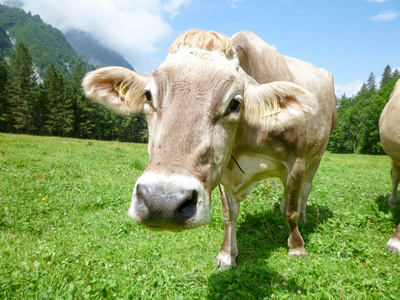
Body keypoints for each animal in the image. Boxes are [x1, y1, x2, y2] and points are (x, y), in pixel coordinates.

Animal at [83, 29, 336, 268]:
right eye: (147, 95)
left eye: (235, 103)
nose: (161, 203)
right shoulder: (222, 169)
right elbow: (229, 213)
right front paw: (226, 255)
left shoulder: (295, 162)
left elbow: (289, 210)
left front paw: (297, 247)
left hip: (316, 156)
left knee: (305, 191)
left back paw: (303, 218)